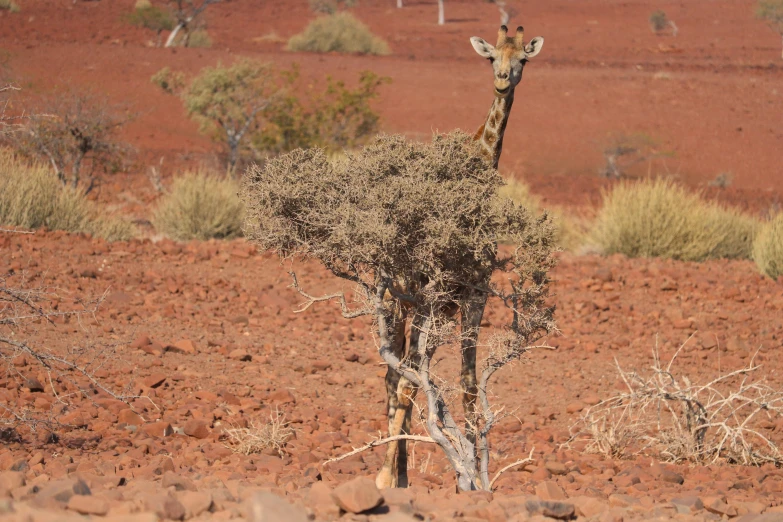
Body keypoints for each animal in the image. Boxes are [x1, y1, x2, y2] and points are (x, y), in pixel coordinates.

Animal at [378, 24, 548, 488]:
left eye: (522, 59)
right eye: (490, 58)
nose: (503, 80)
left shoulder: (475, 298)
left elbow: (470, 386)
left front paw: (474, 481)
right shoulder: (432, 299)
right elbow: (410, 385)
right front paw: (382, 481)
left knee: (403, 375)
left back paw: (403, 477)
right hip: (399, 305)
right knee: (394, 377)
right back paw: (388, 476)